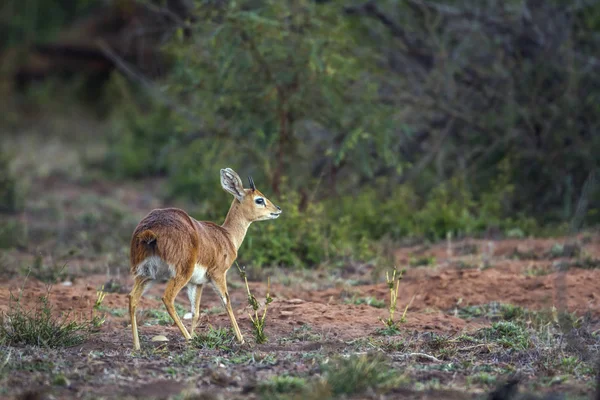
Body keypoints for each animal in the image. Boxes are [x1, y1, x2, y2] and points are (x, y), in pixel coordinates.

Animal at [126, 169, 282, 350]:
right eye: (259, 199)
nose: (277, 209)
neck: (227, 236)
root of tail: (150, 231)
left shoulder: (197, 283)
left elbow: (196, 312)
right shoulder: (218, 275)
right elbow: (226, 302)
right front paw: (241, 338)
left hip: (147, 275)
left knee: (132, 298)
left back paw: (137, 346)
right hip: (179, 274)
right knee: (167, 298)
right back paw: (188, 339)